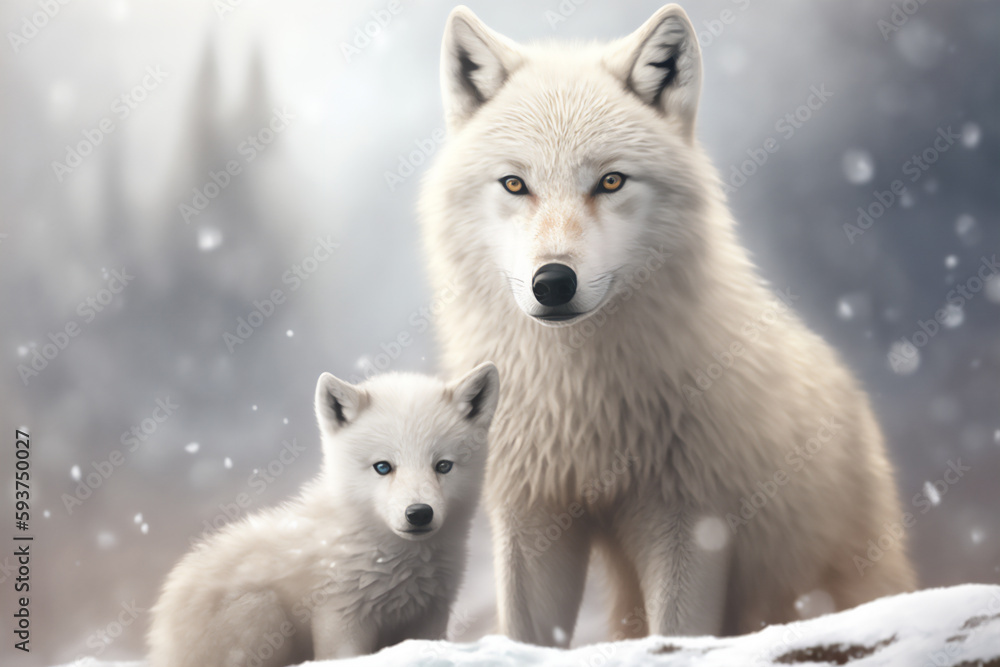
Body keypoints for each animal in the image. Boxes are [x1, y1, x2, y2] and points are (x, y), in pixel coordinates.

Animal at [148, 363, 500, 666]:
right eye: (383, 467)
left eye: (443, 466)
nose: (419, 514)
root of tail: (159, 639)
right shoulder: (340, 617)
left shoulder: (430, 617)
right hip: (261, 609)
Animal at [418, 4, 916, 644]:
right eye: (514, 184)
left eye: (610, 181)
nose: (552, 283)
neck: (583, 403)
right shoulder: (532, 516)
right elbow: (530, 634)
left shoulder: (689, 520)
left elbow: (678, 632)